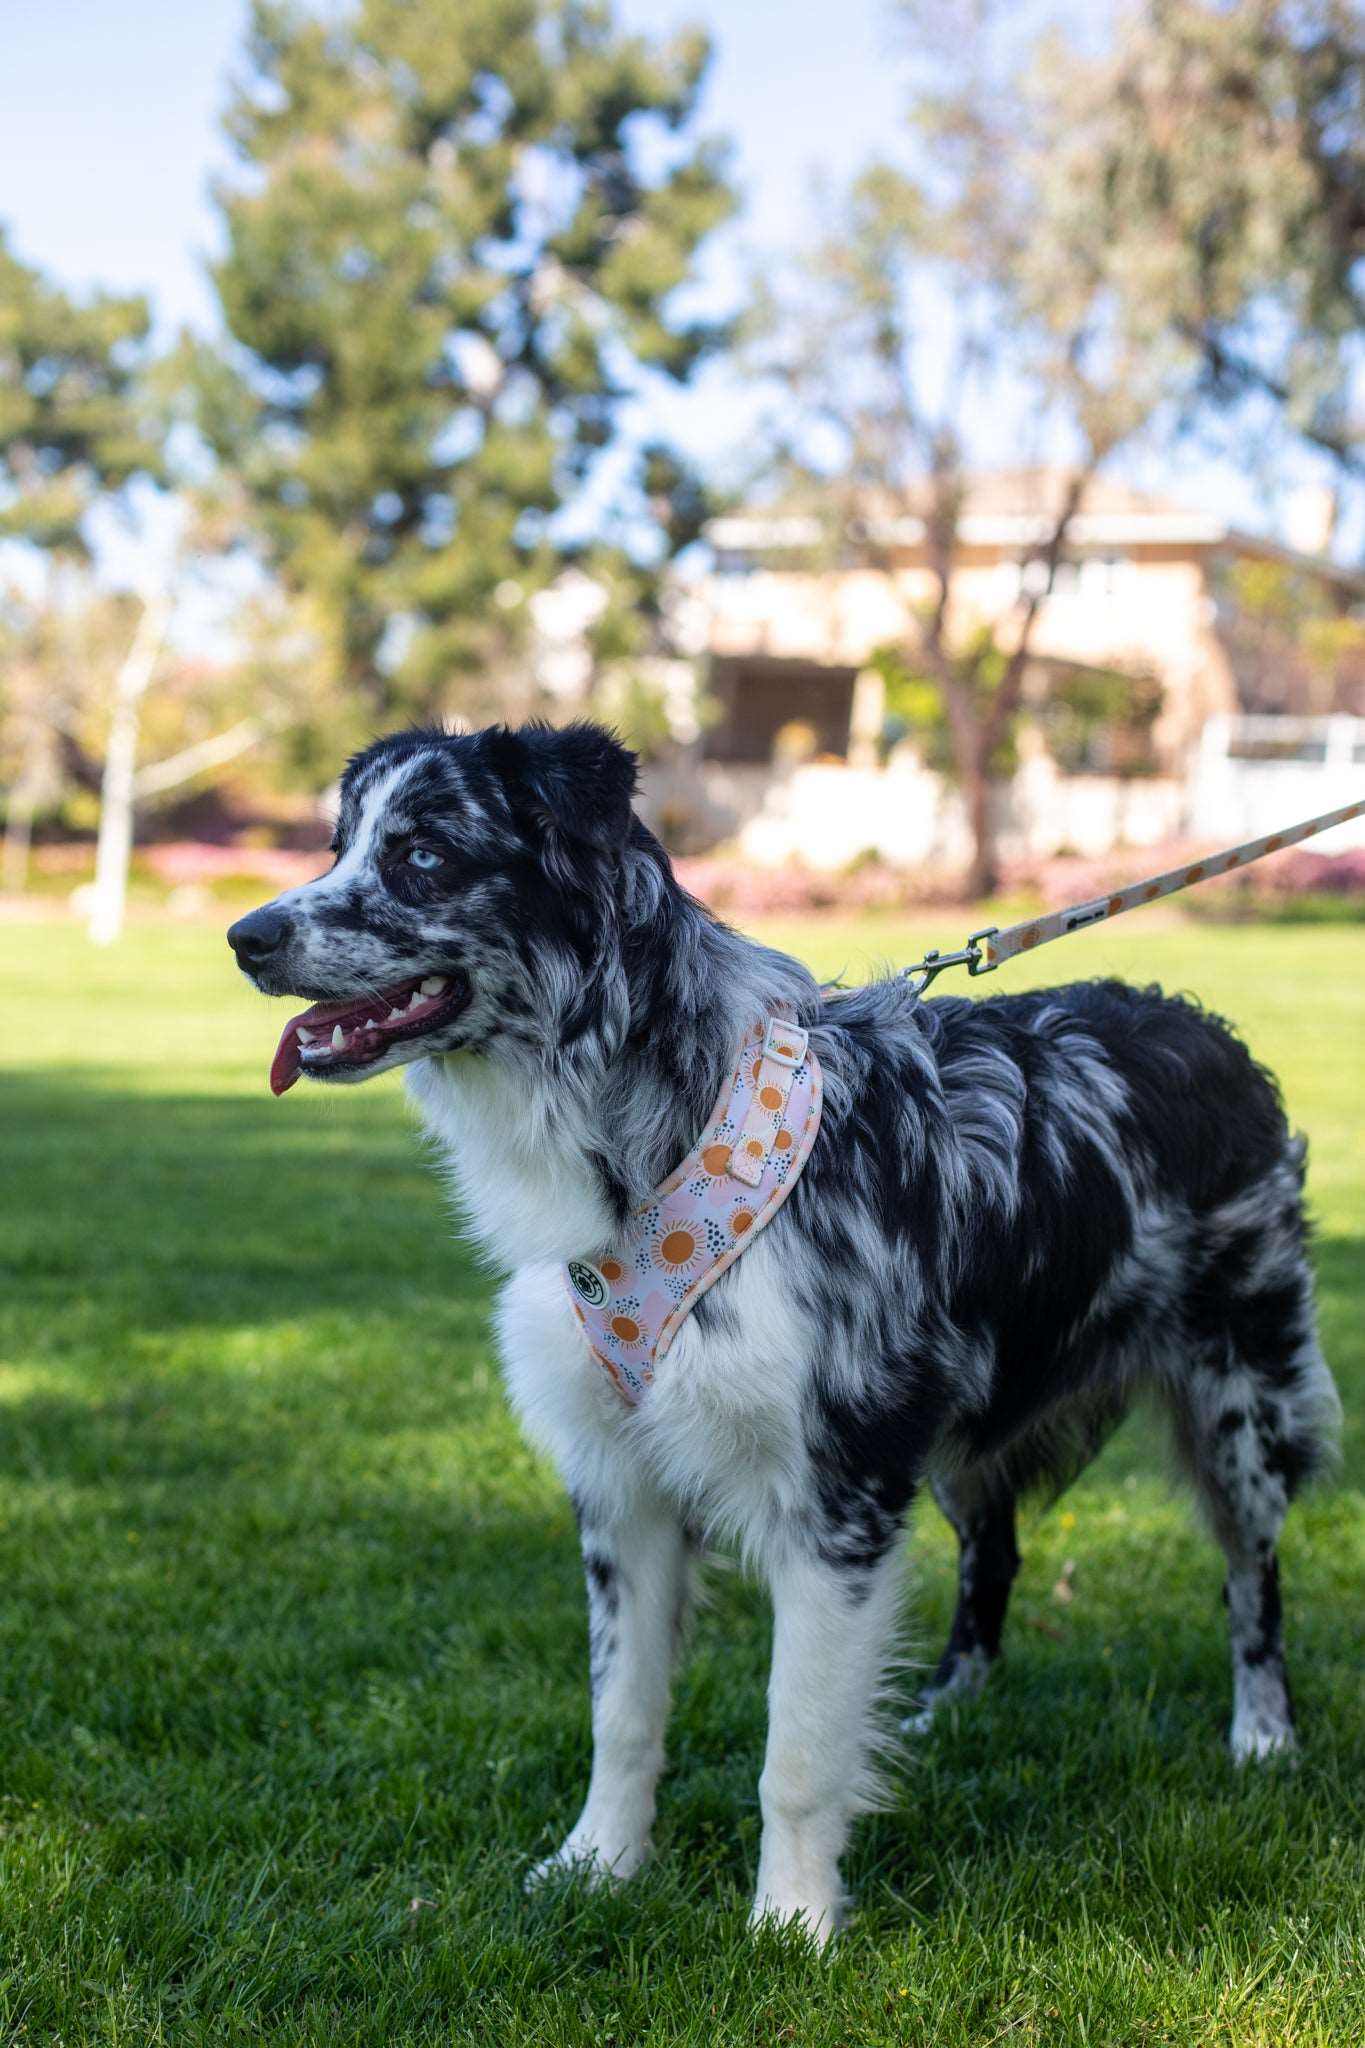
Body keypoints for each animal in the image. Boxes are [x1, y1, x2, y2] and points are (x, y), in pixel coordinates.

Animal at [227, 720, 1342, 1933]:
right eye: (339, 846)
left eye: (424, 857)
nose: (245, 936)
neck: (649, 1126)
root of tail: (1203, 1023)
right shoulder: (623, 1484)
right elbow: (623, 1713)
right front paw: (598, 1864)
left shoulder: (837, 1490)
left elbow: (798, 1751)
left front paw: (791, 1923)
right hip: (967, 1428)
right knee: (993, 1551)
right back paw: (946, 1706)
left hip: (1240, 1398)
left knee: (1252, 1574)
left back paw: (1263, 1736)